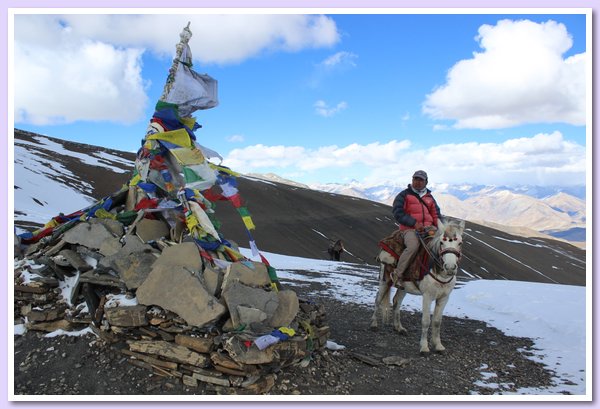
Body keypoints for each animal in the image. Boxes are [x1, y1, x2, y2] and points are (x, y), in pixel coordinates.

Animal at [370, 218, 464, 352]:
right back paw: (373, 324)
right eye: (441, 242)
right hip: (385, 281)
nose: (450, 268)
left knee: (396, 301)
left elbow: (437, 321)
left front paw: (438, 345)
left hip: (403, 287)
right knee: (378, 299)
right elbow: (426, 321)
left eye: (460, 243)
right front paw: (424, 347)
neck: (438, 272)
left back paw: (399, 328)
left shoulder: (444, 297)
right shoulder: (427, 296)